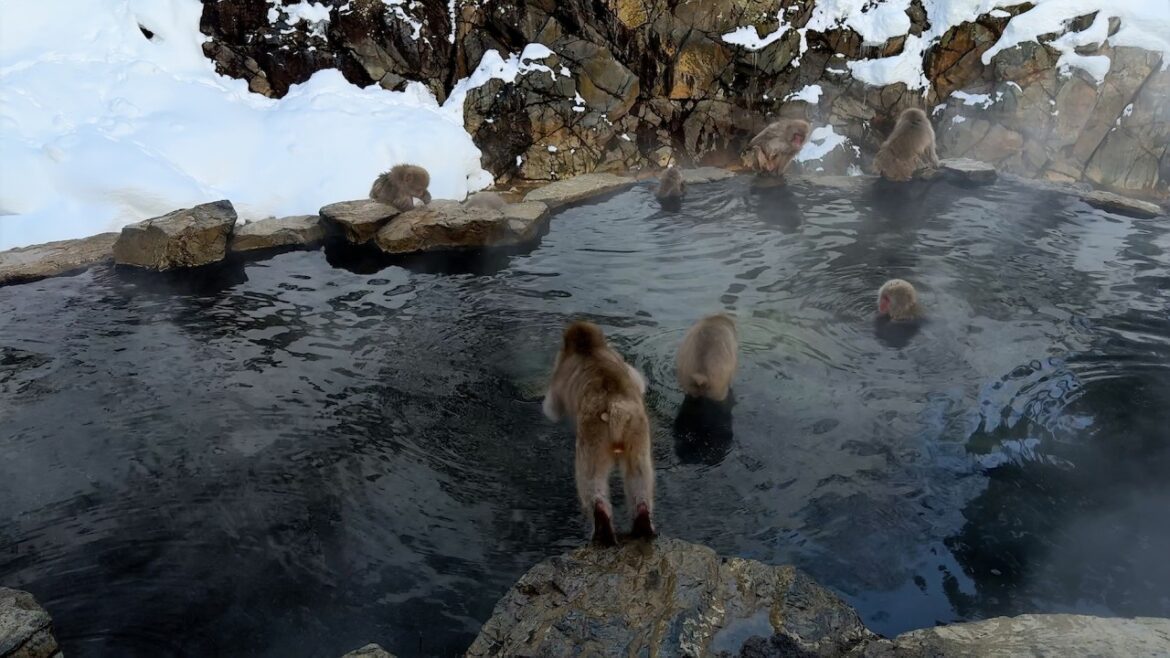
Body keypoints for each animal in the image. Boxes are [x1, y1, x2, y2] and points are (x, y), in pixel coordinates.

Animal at [542, 321, 655, 547]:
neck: (589, 348)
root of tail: (614, 407)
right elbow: (638, 381)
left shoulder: (560, 374)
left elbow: (552, 408)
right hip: (636, 431)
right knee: (639, 474)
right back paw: (643, 523)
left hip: (592, 437)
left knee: (591, 479)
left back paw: (601, 527)